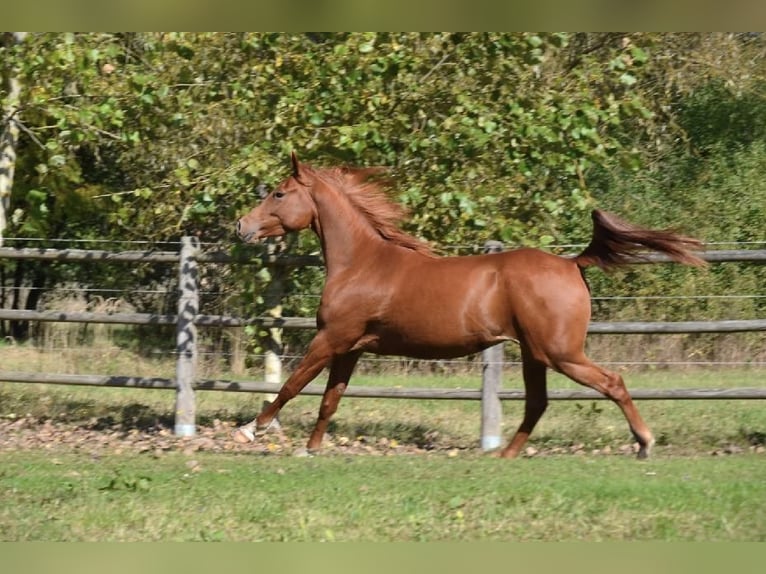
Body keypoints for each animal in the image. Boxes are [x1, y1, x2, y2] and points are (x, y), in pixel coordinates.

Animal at [236, 153, 708, 460]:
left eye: (279, 193)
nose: (241, 226)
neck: (362, 264)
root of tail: (571, 263)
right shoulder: (351, 348)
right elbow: (329, 400)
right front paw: (311, 449)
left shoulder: (332, 339)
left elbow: (292, 384)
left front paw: (250, 431)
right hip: (535, 353)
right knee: (538, 403)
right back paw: (504, 456)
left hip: (560, 352)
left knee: (612, 382)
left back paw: (644, 443)